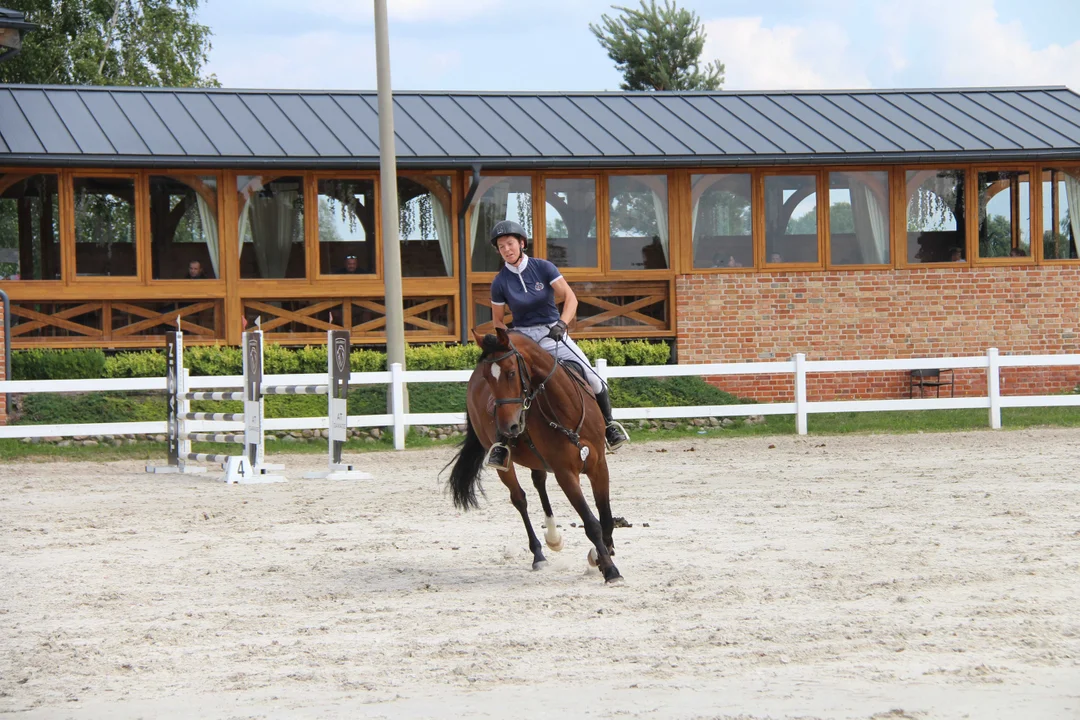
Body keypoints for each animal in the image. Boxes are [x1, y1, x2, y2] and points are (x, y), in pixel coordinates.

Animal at [442, 325, 622, 587]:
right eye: (489, 377)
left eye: (511, 373)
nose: (508, 427)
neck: (565, 409)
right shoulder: (565, 473)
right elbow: (591, 523)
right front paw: (609, 569)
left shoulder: (598, 465)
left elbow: (606, 517)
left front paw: (600, 555)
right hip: (503, 463)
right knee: (520, 499)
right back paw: (539, 554)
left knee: (539, 483)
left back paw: (553, 537)